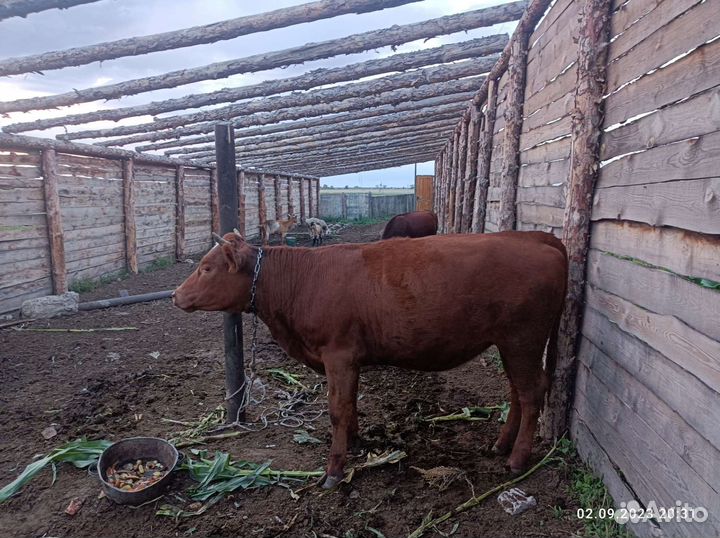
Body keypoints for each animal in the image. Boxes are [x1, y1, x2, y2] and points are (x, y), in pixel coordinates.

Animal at [173, 231, 567, 489]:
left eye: (206, 268)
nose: (175, 295)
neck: (301, 281)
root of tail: (537, 238)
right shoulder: (349, 358)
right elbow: (349, 404)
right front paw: (356, 441)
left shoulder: (338, 354)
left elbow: (337, 408)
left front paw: (334, 471)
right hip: (511, 344)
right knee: (517, 391)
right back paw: (501, 444)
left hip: (522, 339)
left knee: (532, 392)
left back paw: (517, 459)